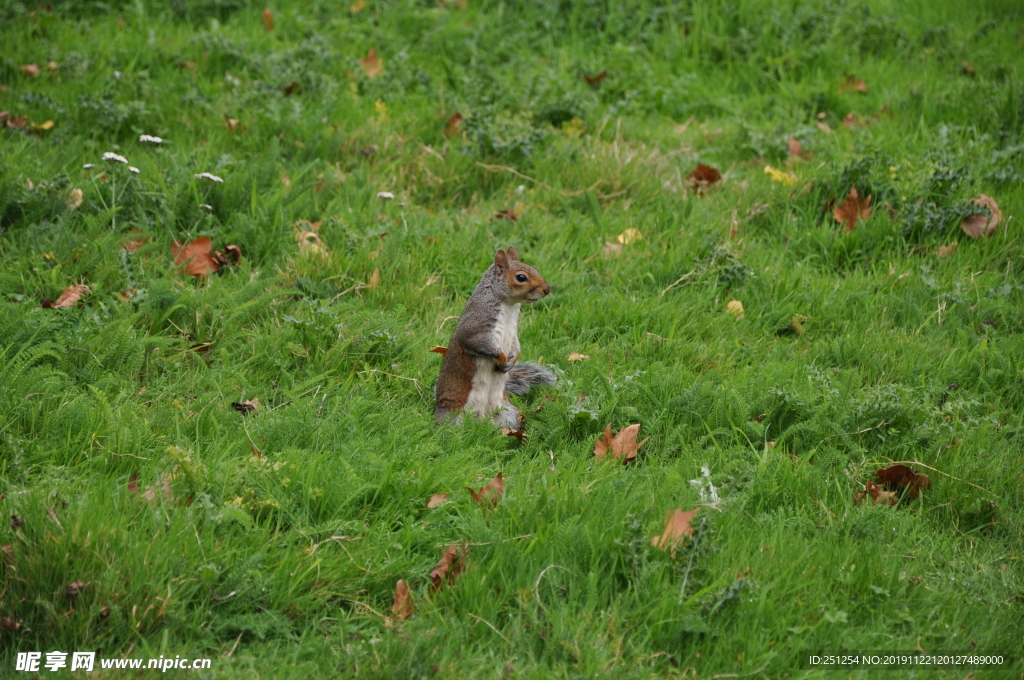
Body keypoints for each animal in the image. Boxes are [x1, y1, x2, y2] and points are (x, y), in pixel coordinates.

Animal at [434, 245, 557, 430]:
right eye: (521, 277)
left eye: (535, 268)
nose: (547, 290)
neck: (508, 305)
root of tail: (481, 421)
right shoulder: (476, 325)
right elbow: (480, 343)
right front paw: (502, 359)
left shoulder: (513, 331)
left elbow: (516, 345)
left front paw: (512, 360)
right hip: (453, 416)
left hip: (507, 413)